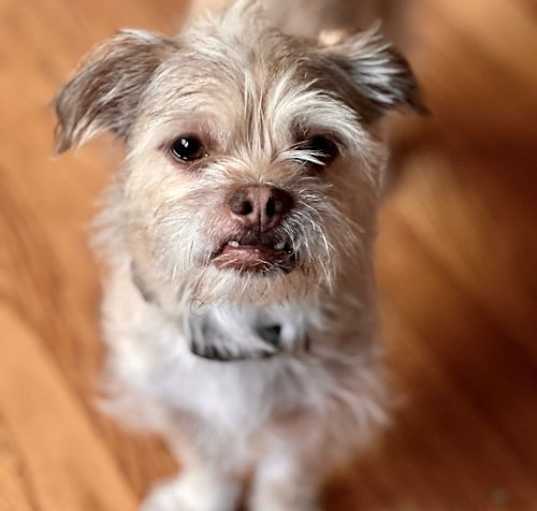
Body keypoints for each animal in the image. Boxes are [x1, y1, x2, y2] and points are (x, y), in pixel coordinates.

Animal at [55, 1, 422, 511]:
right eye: (187, 146)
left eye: (319, 146)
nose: (262, 201)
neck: (242, 311)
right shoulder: (178, 402)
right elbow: (208, 464)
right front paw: (200, 498)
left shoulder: (316, 413)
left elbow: (284, 478)